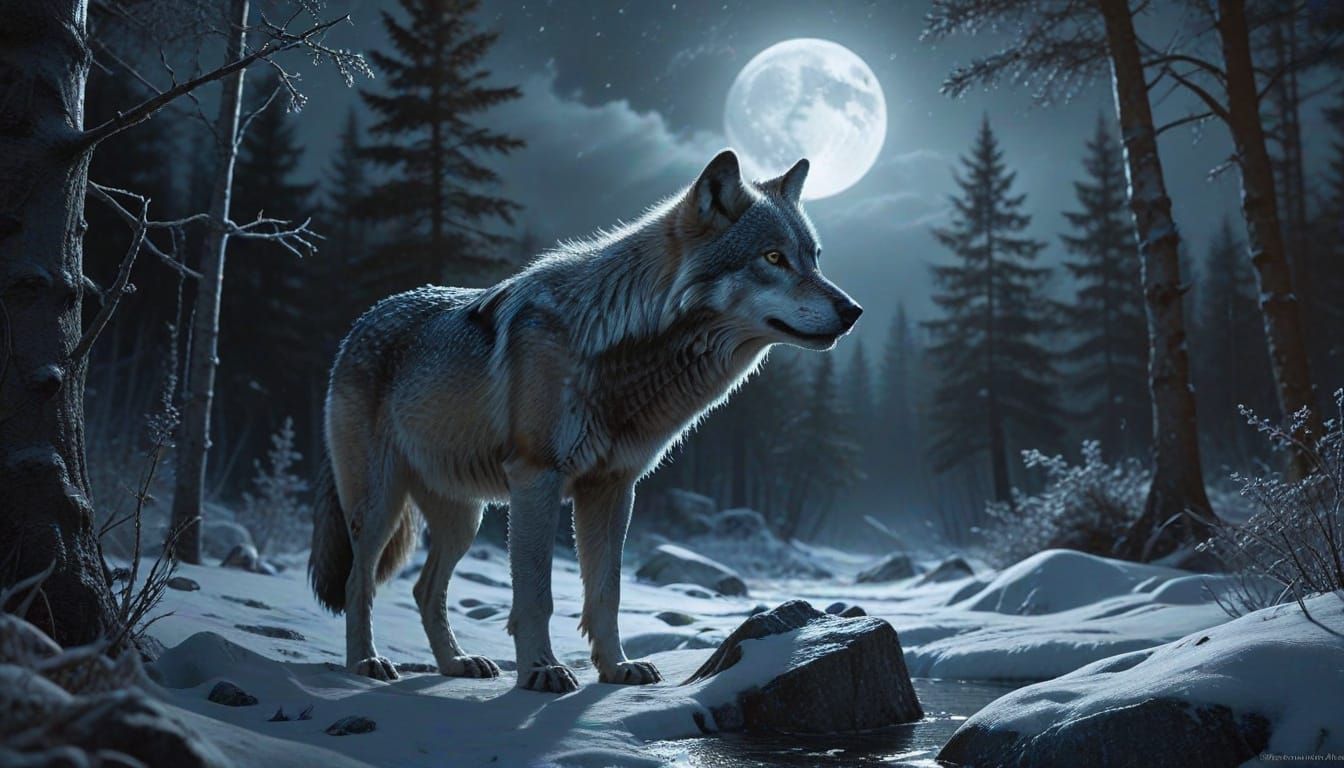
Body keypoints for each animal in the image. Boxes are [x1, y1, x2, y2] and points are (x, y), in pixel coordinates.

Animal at [308, 149, 862, 693]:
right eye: (773, 258)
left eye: (814, 257)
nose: (853, 309)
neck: (616, 347)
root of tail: (361, 322)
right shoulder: (537, 479)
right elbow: (536, 594)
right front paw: (541, 670)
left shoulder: (614, 487)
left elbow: (606, 593)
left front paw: (616, 668)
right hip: (380, 505)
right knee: (359, 580)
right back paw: (367, 663)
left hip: (465, 518)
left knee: (425, 590)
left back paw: (457, 663)